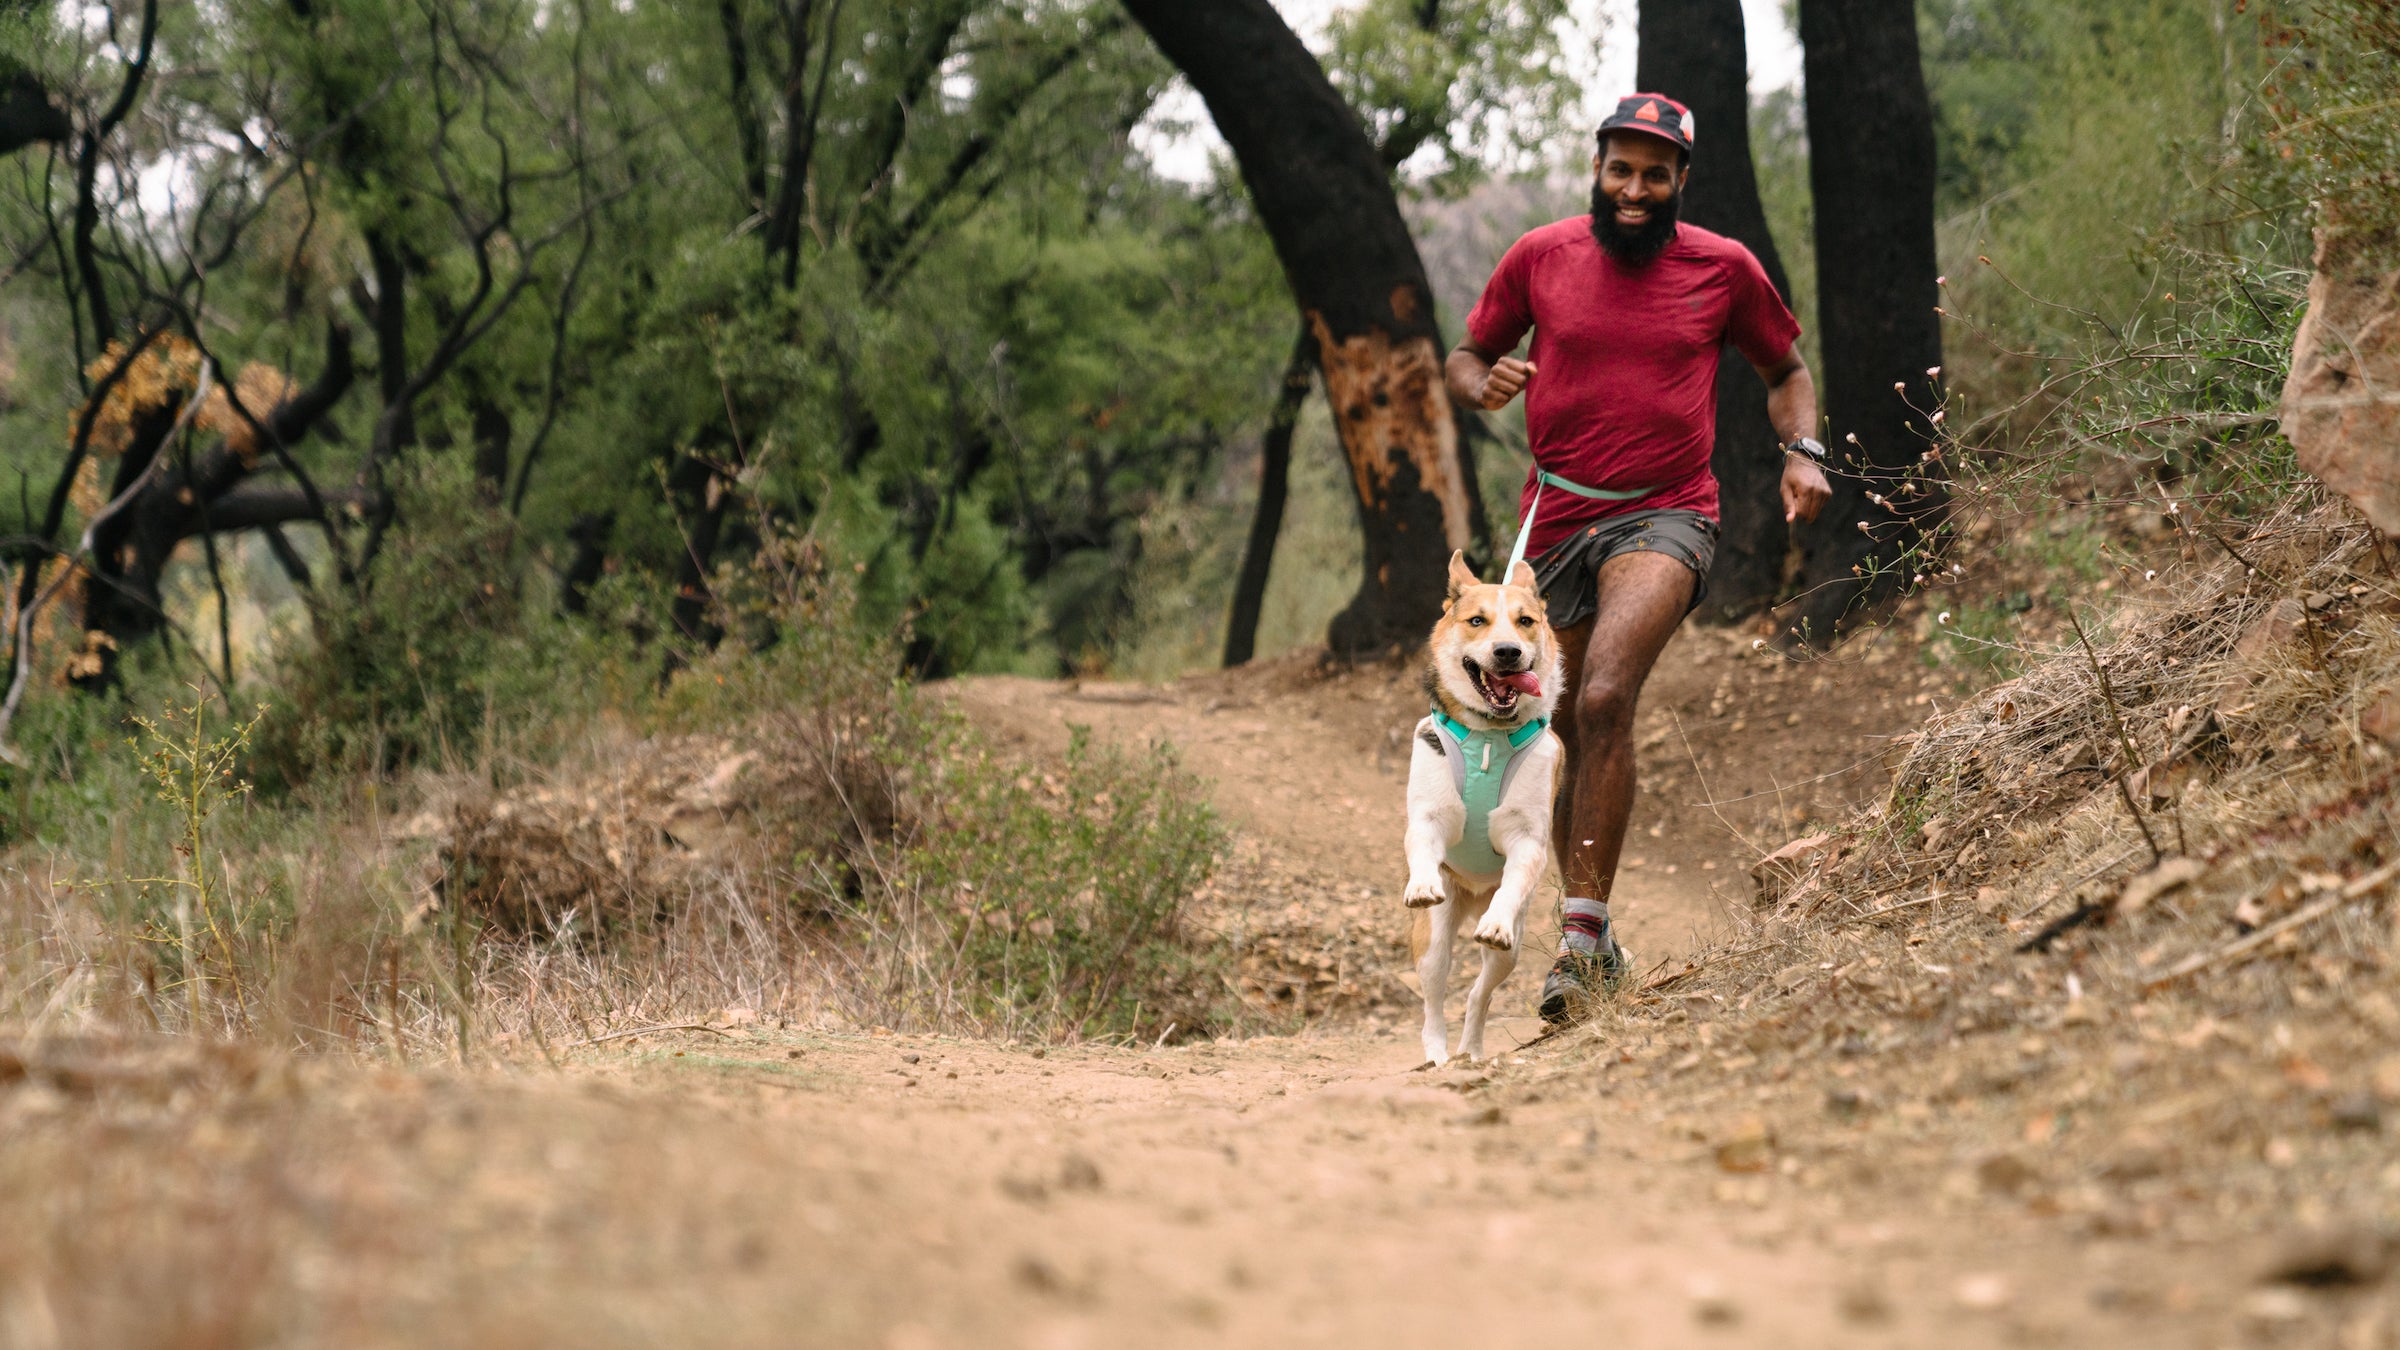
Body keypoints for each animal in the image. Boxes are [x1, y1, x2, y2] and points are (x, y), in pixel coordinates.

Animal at [1401, 547, 1564, 1061]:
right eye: (1477, 620)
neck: (1489, 736)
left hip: (1508, 953)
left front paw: (1496, 921)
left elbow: (1517, 872)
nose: (1508, 651)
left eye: (1525, 621)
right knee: (1434, 995)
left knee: (1478, 994)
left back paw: (1470, 1051)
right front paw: (1421, 882)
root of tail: (1472, 896)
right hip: (1434, 937)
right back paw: (1437, 1054)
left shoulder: (1528, 839)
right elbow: (1422, 839)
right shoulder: (1428, 817)